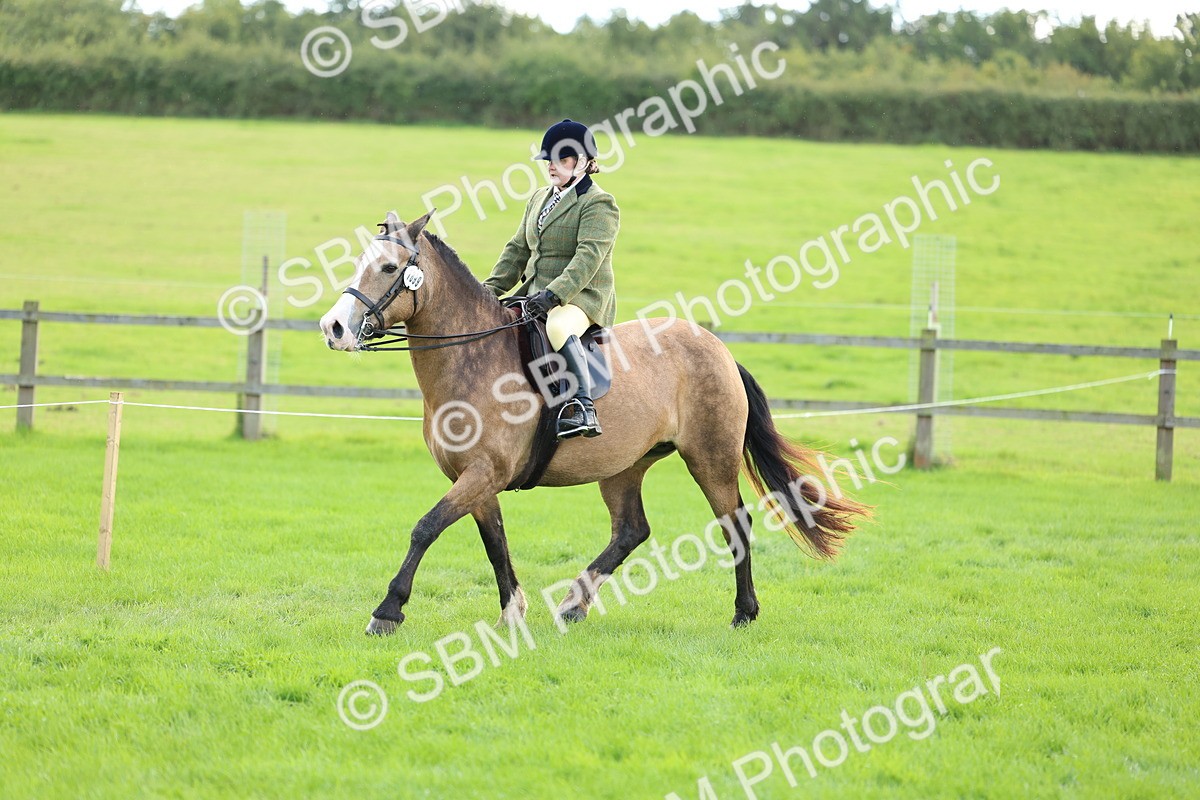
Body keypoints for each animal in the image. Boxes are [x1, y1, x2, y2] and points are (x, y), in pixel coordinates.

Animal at [319, 211, 869, 634]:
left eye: (389, 267)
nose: (334, 328)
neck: (473, 359)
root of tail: (718, 348)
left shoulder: (483, 474)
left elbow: (425, 527)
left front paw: (387, 611)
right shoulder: (474, 479)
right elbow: (494, 543)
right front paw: (512, 615)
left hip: (709, 458)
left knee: (734, 522)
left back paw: (743, 613)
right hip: (624, 467)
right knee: (631, 530)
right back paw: (574, 603)